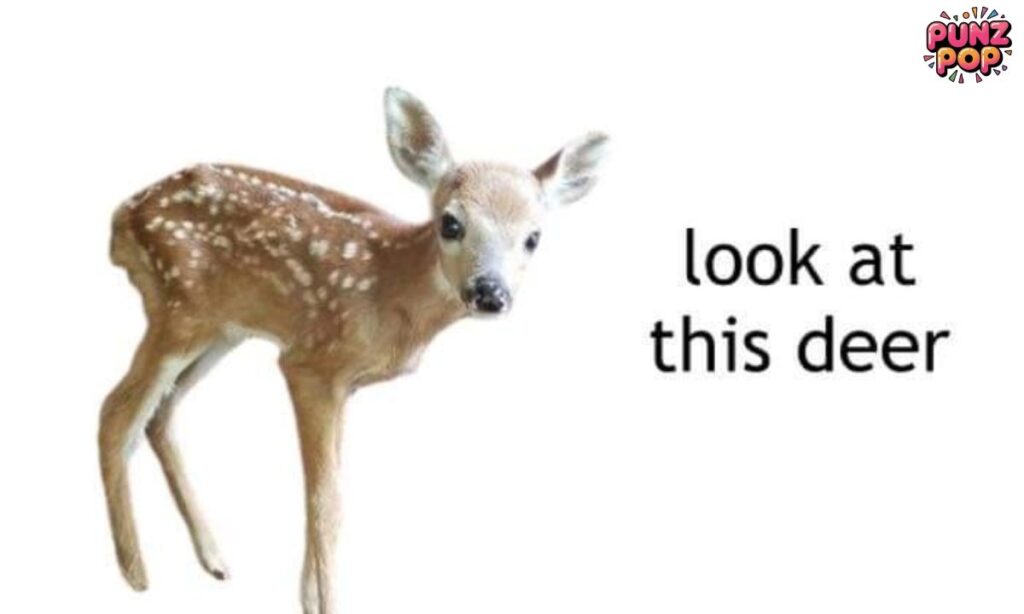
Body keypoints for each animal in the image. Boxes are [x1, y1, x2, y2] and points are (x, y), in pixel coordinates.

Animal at [99, 87, 607, 614]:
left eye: (533, 237)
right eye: (451, 223)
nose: (490, 293)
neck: (390, 285)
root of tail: (121, 216)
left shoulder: (345, 386)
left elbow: (330, 493)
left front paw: (307, 596)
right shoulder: (311, 364)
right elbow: (327, 502)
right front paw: (324, 603)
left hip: (221, 330)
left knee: (160, 415)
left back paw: (214, 558)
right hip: (177, 311)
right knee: (116, 411)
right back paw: (136, 572)